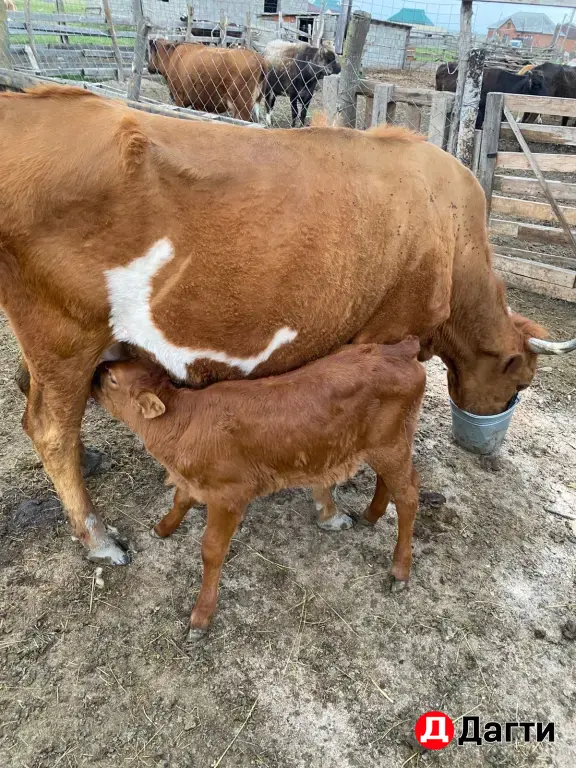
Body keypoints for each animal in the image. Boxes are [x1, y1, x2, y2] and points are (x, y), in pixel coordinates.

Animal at [1, 86, 574, 565]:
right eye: (522, 381)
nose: (489, 435)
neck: (451, 232)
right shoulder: (385, 337)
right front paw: (342, 508)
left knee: (30, 389)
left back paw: (89, 461)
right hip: (65, 334)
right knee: (50, 427)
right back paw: (98, 537)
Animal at [93, 340, 426, 635]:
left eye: (113, 378)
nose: (94, 373)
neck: (183, 421)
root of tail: (400, 349)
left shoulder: (229, 495)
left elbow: (211, 550)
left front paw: (201, 616)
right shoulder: (193, 481)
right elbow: (179, 501)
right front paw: (162, 528)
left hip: (389, 445)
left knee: (408, 494)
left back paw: (400, 569)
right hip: (392, 442)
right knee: (389, 482)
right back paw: (371, 514)